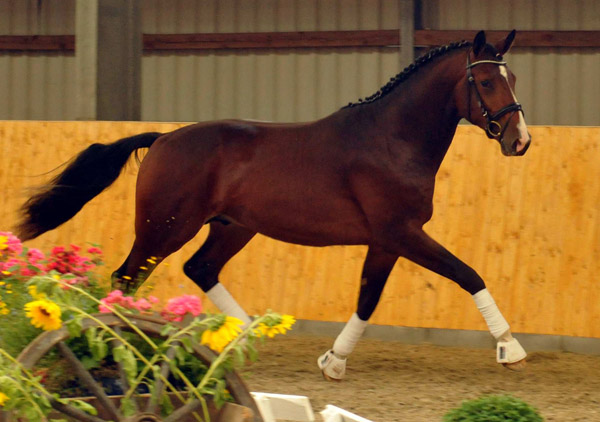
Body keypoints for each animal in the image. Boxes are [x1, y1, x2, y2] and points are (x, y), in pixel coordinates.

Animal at [17, 30, 528, 380]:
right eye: (485, 80)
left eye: (513, 78)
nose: (519, 142)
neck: (392, 140)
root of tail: (163, 138)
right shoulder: (402, 232)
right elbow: (467, 274)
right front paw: (510, 347)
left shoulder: (388, 240)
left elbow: (368, 297)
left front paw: (333, 362)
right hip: (164, 228)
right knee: (126, 279)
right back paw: (122, 344)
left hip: (231, 226)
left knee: (199, 268)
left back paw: (246, 337)